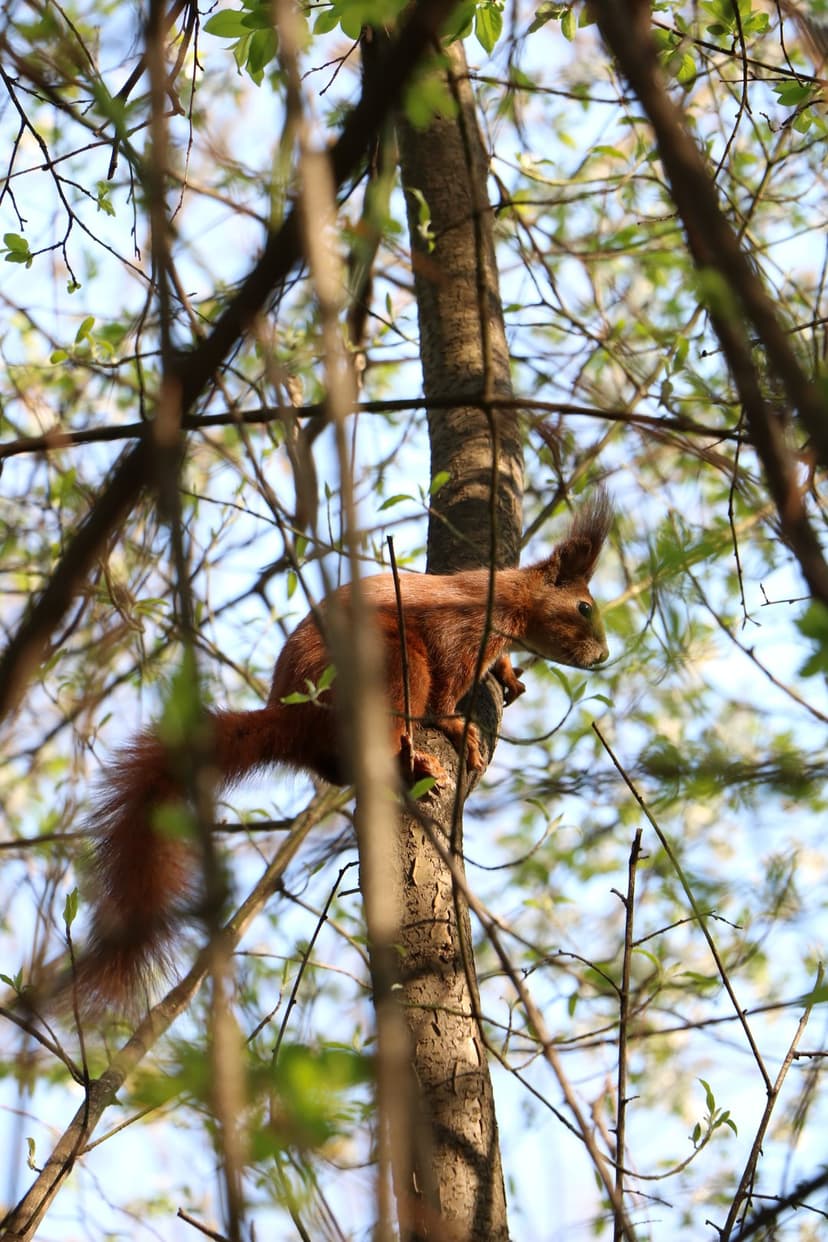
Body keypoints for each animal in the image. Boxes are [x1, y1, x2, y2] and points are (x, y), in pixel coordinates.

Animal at [80, 491, 611, 1010]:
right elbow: (447, 680)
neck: (510, 597)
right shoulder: (461, 629)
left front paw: (505, 673)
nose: (604, 656)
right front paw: (453, 722)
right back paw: (411, 758)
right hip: (388, 657)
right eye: (584, 607)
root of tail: (291, 717)